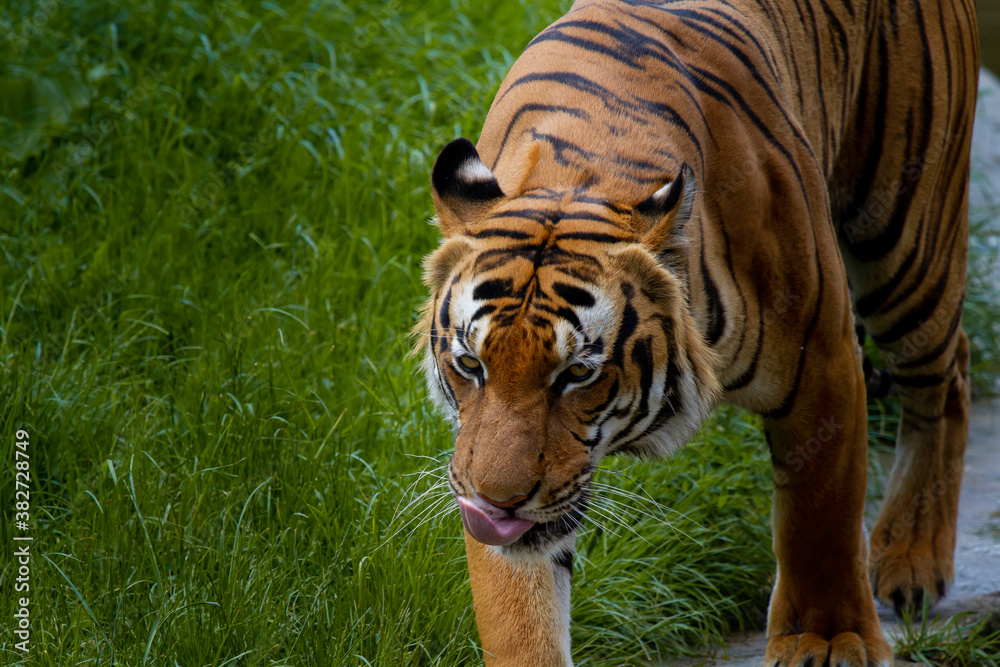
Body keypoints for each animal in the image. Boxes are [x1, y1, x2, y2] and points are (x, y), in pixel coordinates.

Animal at [414, 0, 979, 664]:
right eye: (471, 365)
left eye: (577, 373)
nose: (496, 504)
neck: (580, 173)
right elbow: (519, 603)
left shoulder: (824, 356)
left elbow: (821, 517)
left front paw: (827, 639)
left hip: (906, 239)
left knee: (947, 373)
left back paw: (913, 558)